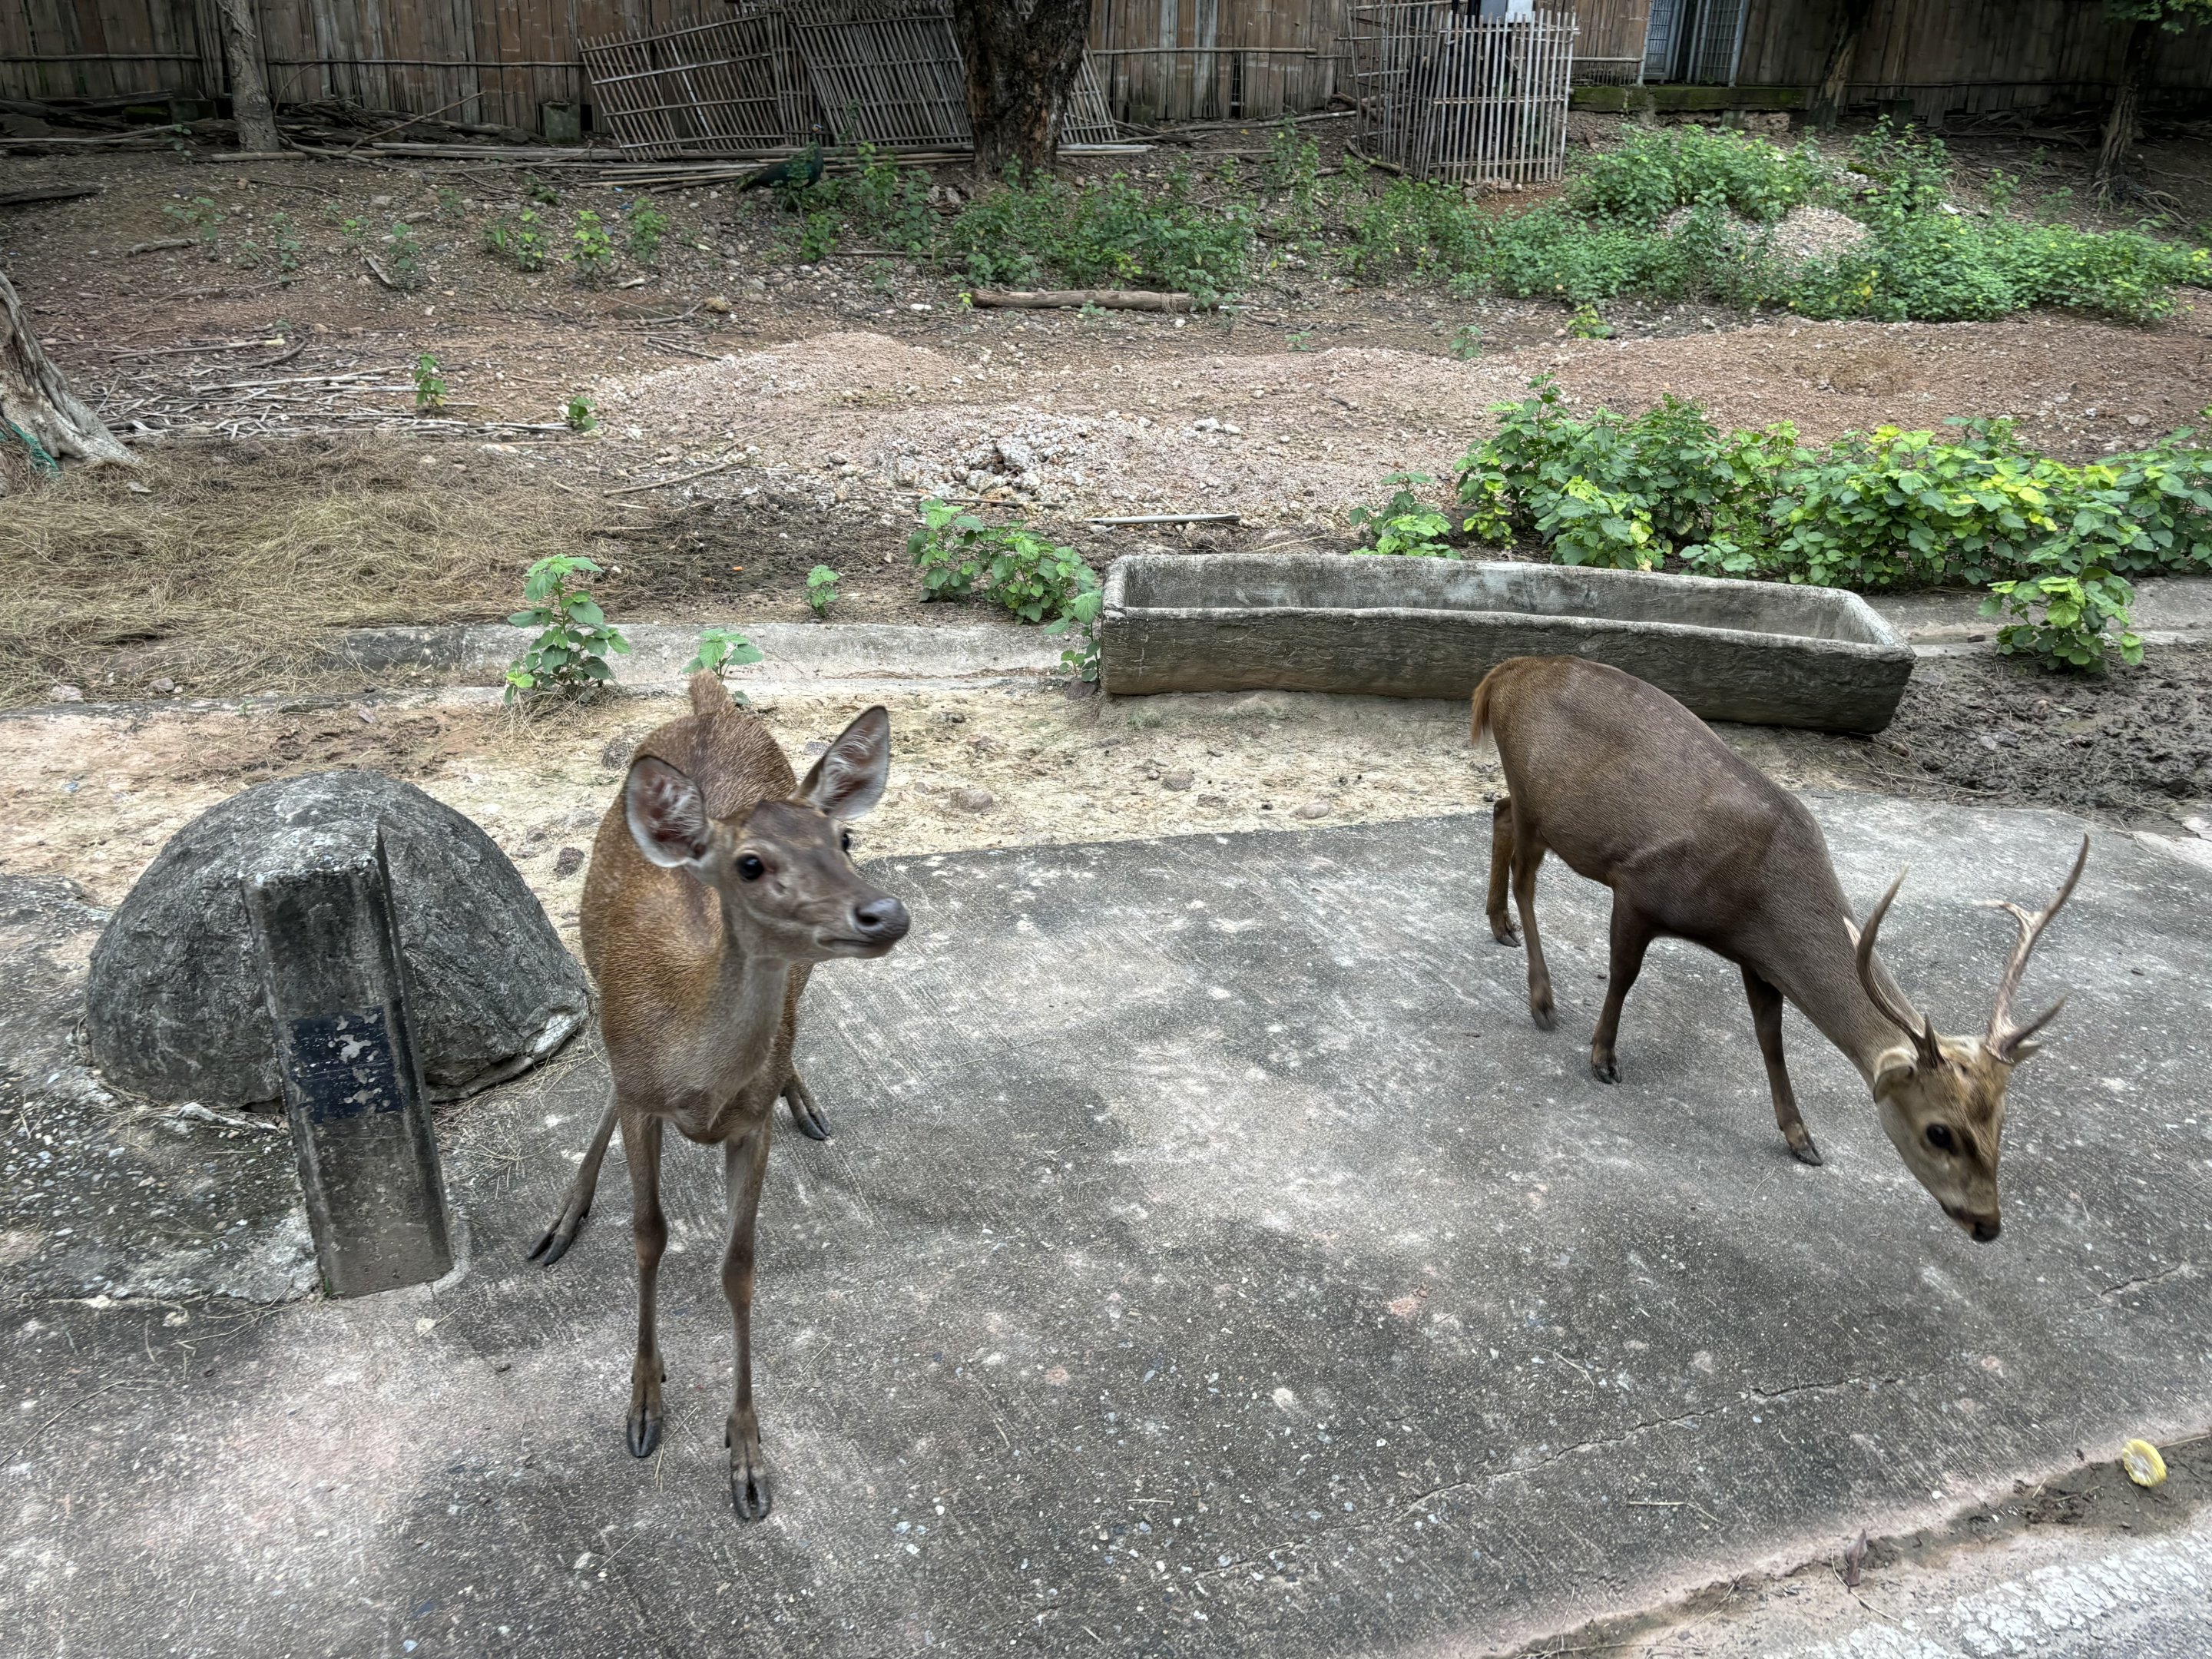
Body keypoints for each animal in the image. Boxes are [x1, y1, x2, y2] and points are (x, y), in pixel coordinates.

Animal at [528, 672, 910, 1519]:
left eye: (843, 842)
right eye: (752, 864)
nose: (885, 912)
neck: (697, 1074)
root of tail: (709, 700)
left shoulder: (750, 1127)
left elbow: (739, 1267)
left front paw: (746, 1457)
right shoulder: (643, 1096)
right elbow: (648, 1235)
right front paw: (643, 1403)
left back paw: (805, 1097)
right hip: (597, 971)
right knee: (606, 1080)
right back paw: (563, 1216)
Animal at [1470, 656, 2087, 1243]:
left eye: (2001, 1122)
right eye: (1940, 1131)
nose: (1987, 1223)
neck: (1757, 902)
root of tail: (1501, 676)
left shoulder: (1758, 960)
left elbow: (1771, 1038)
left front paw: (1801, 1138)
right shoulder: (1638, 887)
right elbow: (1623, 974)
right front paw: (1602, 1058)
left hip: (1535, 803)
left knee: (1499, 812)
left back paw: (1501, 926)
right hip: (1538, 795)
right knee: (1525, 870)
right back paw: (1541, 999)